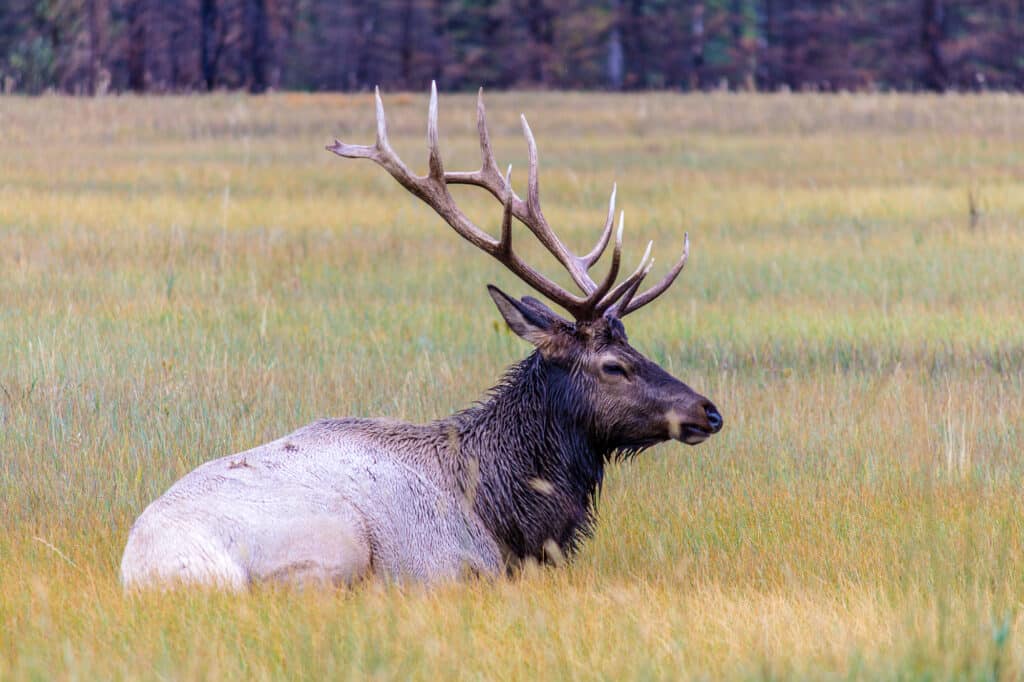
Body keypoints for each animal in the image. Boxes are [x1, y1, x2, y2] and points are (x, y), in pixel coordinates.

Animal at [119, 82, 724, 585]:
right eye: (613, 366)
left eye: (633, 347)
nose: (708, 410)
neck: (504, 514)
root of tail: (146, 571)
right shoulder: (451, 567)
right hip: (336, 538)